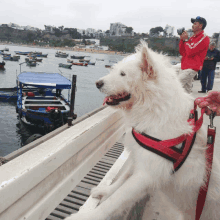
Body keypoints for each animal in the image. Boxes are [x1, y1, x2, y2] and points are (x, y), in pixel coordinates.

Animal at [65, 40, 220, 219]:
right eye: (116, 70)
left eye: (123, 74)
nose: (98, 83)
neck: (153, 108)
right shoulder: (140, 157)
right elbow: (123, 179)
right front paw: (106, 191)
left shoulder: (147, 173)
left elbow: (116, 200)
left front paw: (87, 216)